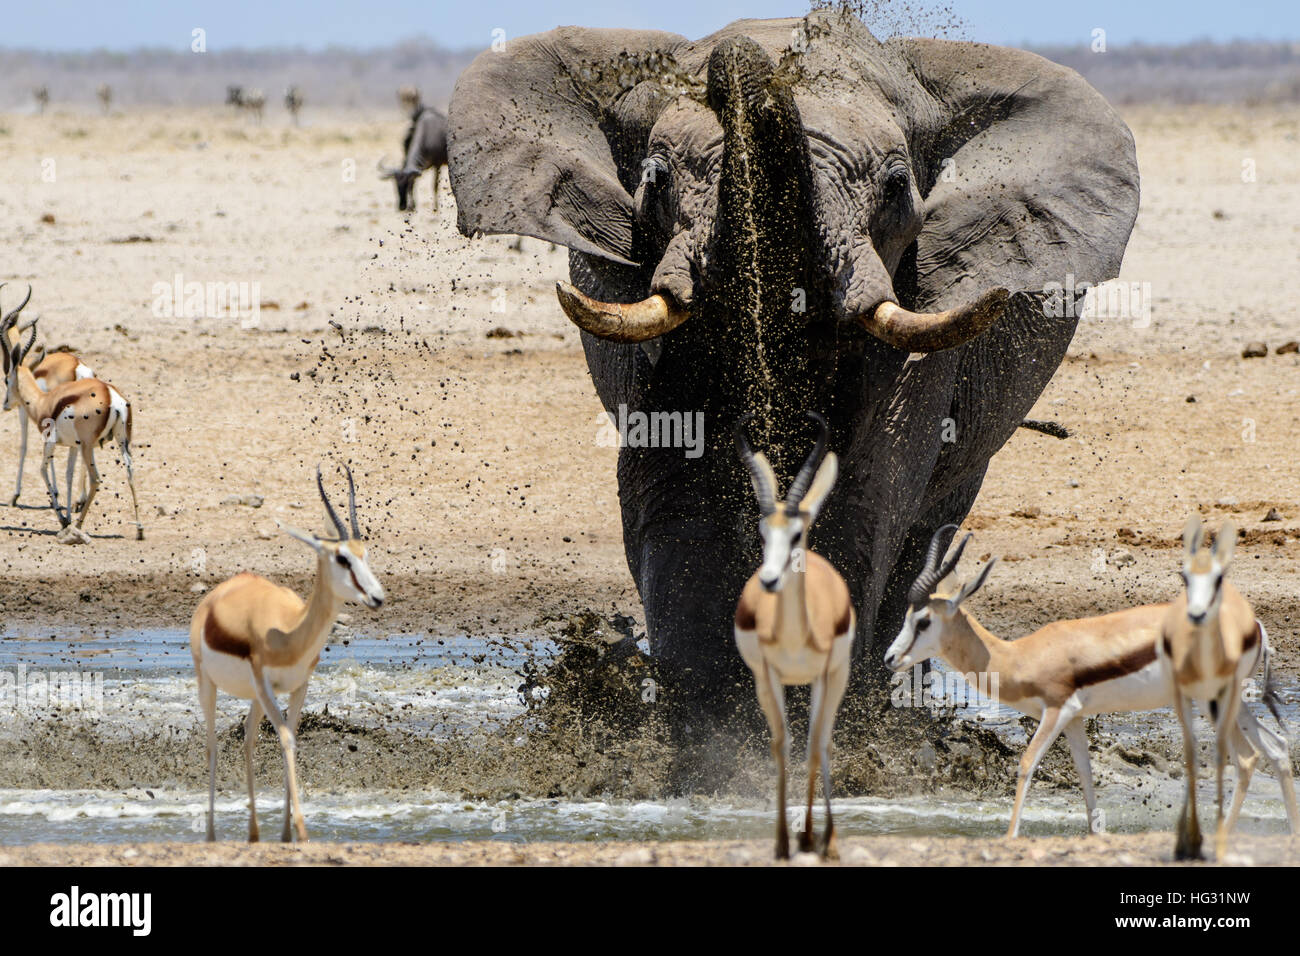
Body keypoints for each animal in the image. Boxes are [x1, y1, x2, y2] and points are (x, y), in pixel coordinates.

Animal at [446, 11, 1140, 731]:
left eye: (897, 188)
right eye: (656, 180)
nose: (743, 60)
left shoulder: (923, 304)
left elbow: (861, 496)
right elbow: (673, 489)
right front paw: (718, 738)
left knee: (926, 527)